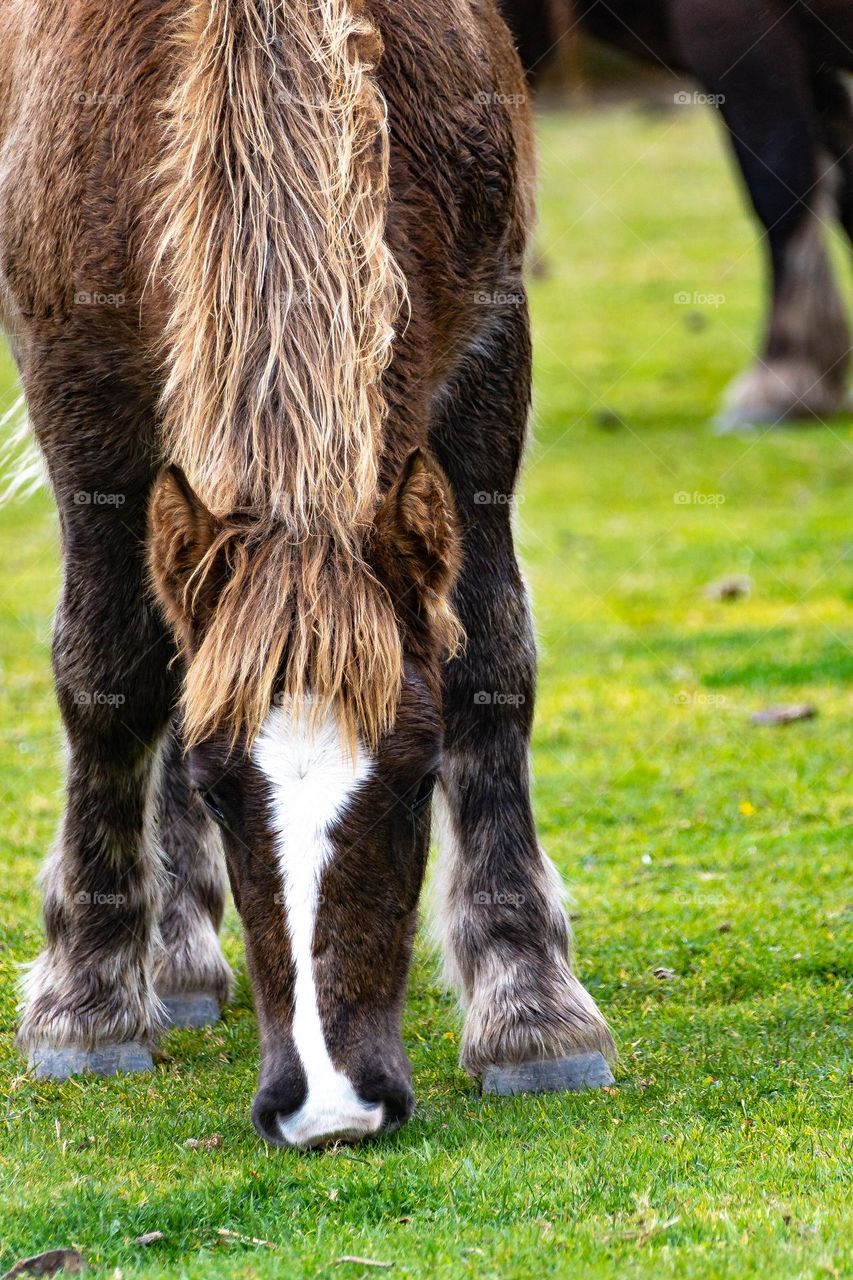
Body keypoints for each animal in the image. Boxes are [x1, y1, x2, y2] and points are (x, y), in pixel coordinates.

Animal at [0, 0, 614, 1148]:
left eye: (418, 775)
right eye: (216, 785)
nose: (331, 1106)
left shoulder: (487, 348)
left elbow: (491, 658)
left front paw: (531, 1008)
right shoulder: (73, 373)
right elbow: (109, 671)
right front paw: (86, 1001)